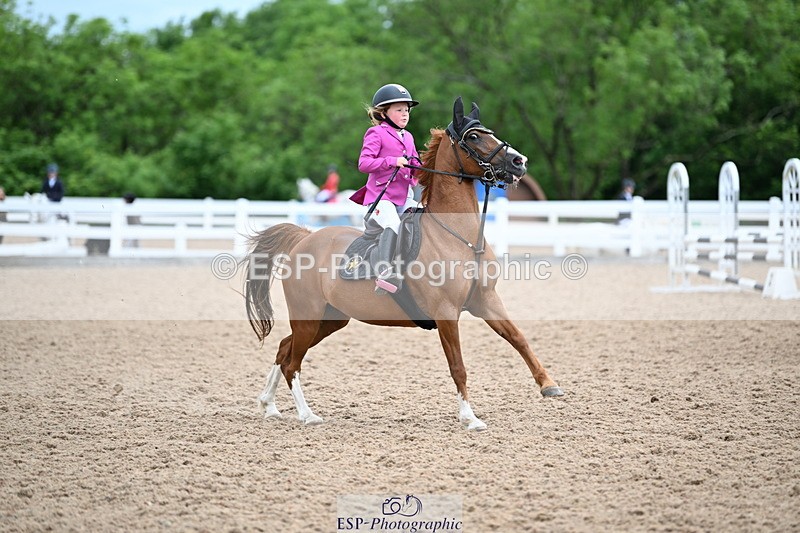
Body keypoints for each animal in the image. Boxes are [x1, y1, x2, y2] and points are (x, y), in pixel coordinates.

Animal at [243, 97, 563, 431]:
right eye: (474, 137)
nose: (519, 162)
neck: (458, 237)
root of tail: (304, 239)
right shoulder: (446, 314)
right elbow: (458, 366)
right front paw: (469, 417)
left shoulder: (486, 301)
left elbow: (518, 338)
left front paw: (548, 384)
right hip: (309, 317)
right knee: (292, 362)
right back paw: (307, 415)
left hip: (330, 319)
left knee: (284, 348)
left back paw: (269, 405)